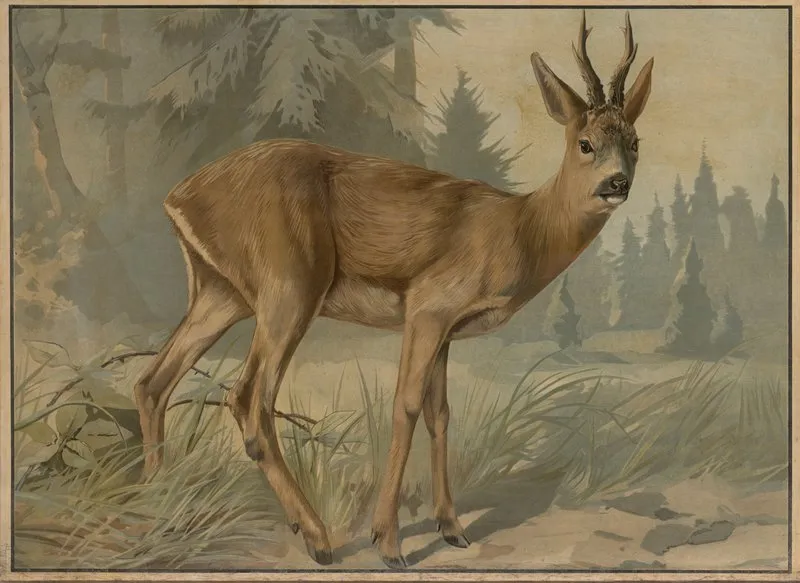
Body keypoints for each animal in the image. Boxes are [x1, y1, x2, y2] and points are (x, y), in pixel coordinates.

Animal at [133, 10, 653, 569]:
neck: (519, 229)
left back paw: (156, 507)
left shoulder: (447, 330)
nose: (618, 183)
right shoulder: (428, 305)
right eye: (585, 143)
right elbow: (404, 406)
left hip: (220, 292)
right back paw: (317, 537)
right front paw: (388, 541)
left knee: (153, 381)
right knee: (248, 398)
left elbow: (440, 414)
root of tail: (177, 197)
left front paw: (452, 527)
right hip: (289, 285)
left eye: (635, 142)